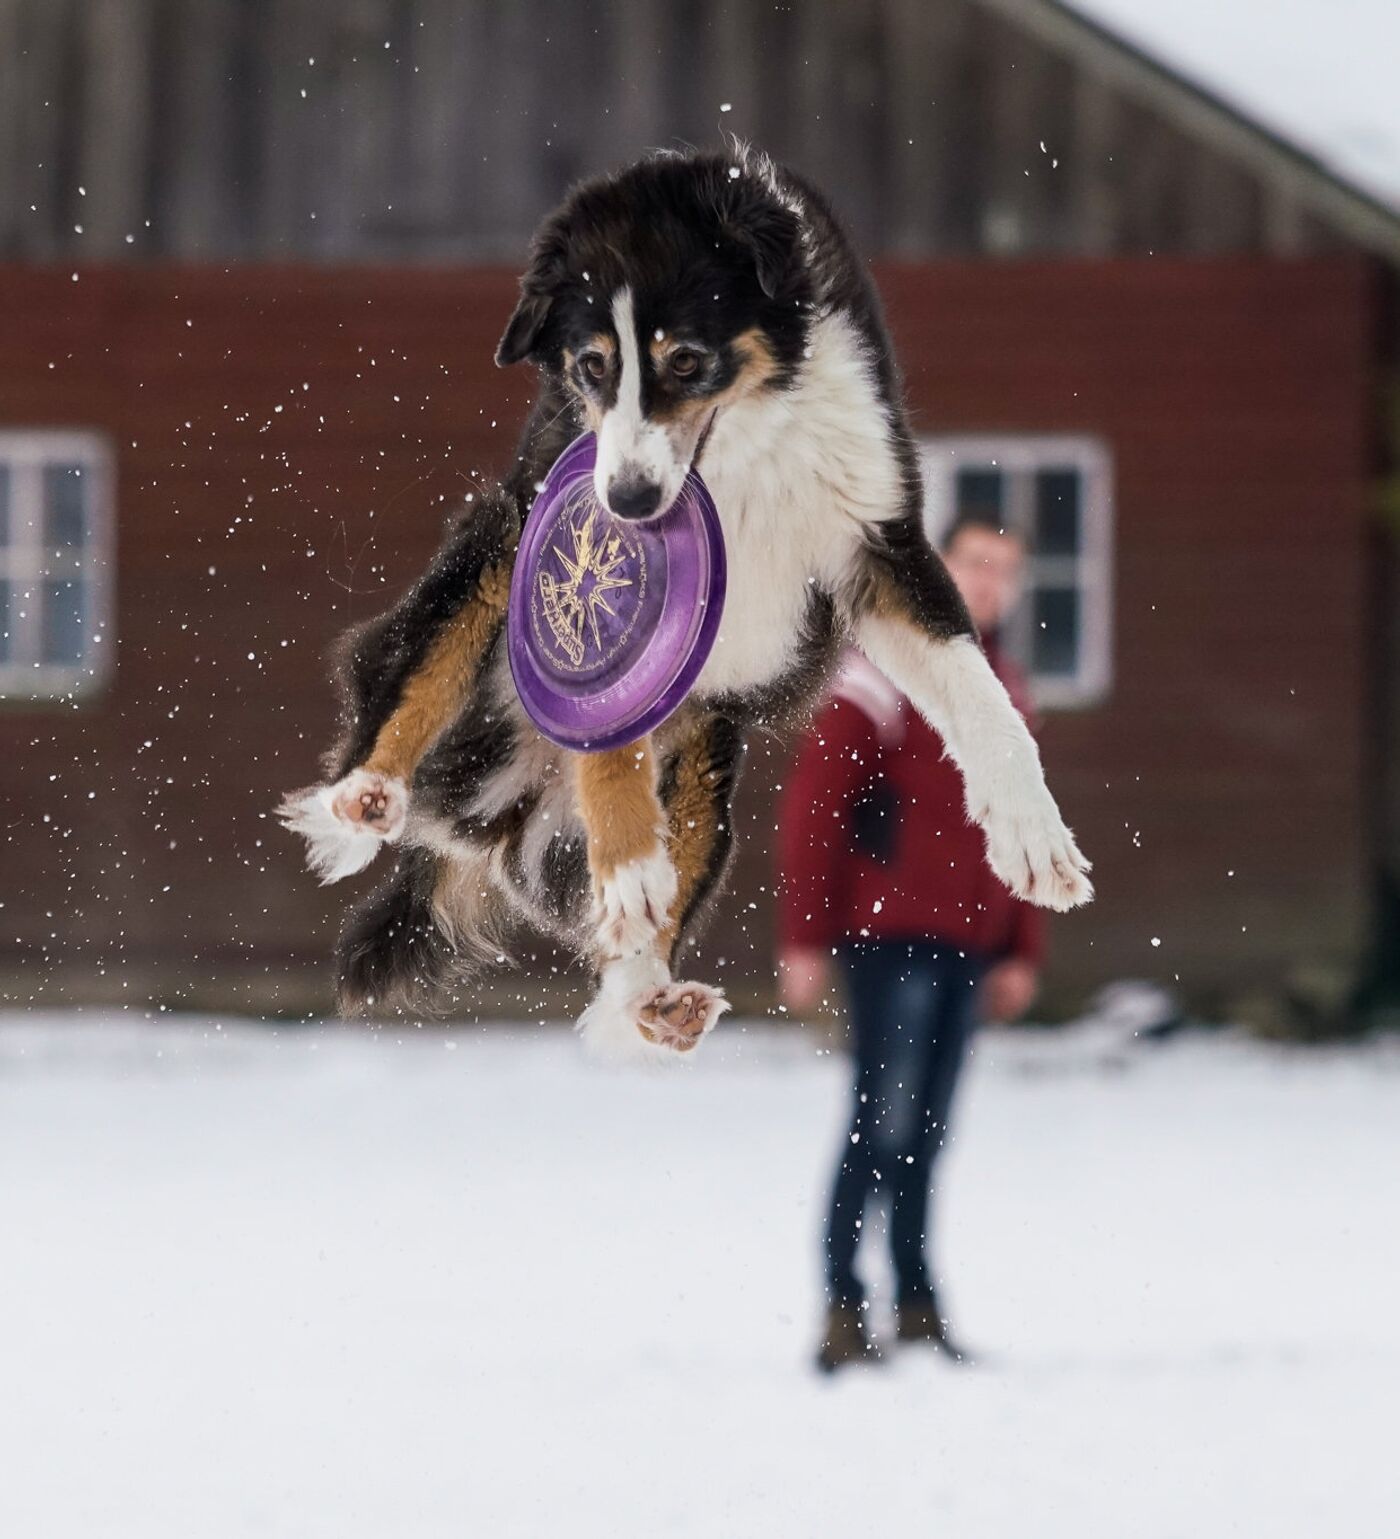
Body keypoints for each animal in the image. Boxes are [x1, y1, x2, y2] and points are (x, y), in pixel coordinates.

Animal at [281, 146, 1095, 1058]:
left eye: (686, 360)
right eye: (592, 365)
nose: (629, 500)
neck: (741, 445)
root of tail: (494, 812)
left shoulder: (877, 542)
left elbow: (979, 694)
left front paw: (1034, 838)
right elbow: (603, 733)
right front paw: (630, 854)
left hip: (706, 772)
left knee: (630, 956)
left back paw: (655, 997)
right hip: (493, 552)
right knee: (404, 689)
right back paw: (367, 801)